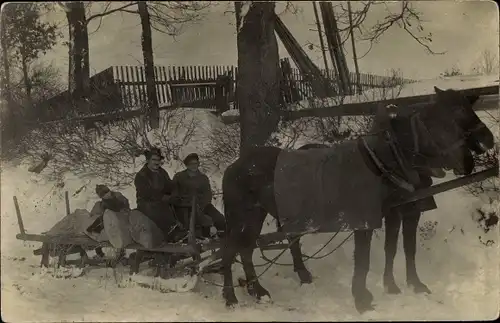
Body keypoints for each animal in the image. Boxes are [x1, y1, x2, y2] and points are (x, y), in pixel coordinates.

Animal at [221, 86, 494, 314]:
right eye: (454, 114)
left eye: (470, 107)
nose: (488, 139)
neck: (386, 160)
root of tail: (233, 167)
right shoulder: (366, 219)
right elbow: (363, 258)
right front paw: (362, 299)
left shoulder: (400, 211)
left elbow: (399, 248)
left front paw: (403, 285)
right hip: (244, 217)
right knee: (230, 249)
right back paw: (231, 297)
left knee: (247, 249)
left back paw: (260, 290)